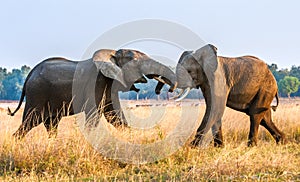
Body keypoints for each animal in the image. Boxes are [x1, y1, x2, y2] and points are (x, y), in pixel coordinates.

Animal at [8, 48, 177, 138]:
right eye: (136, 62)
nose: (164, 90)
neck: (112, 54)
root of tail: (30, 74)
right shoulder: (95, 83)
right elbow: (94, 115)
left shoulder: (110, 84)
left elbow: (115, 116)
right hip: (37, 93)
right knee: (30, 121)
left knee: (51, 123)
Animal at [156, 44, 284, 147]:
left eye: (189, 71)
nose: (158, 92)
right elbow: (214, 109)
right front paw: (219, 147)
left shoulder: (219, 80)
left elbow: (216, 108)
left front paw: (191, 148)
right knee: (265, 118)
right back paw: (282, 142)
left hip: (266, 88)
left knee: (255, 115)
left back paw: (251, 146)